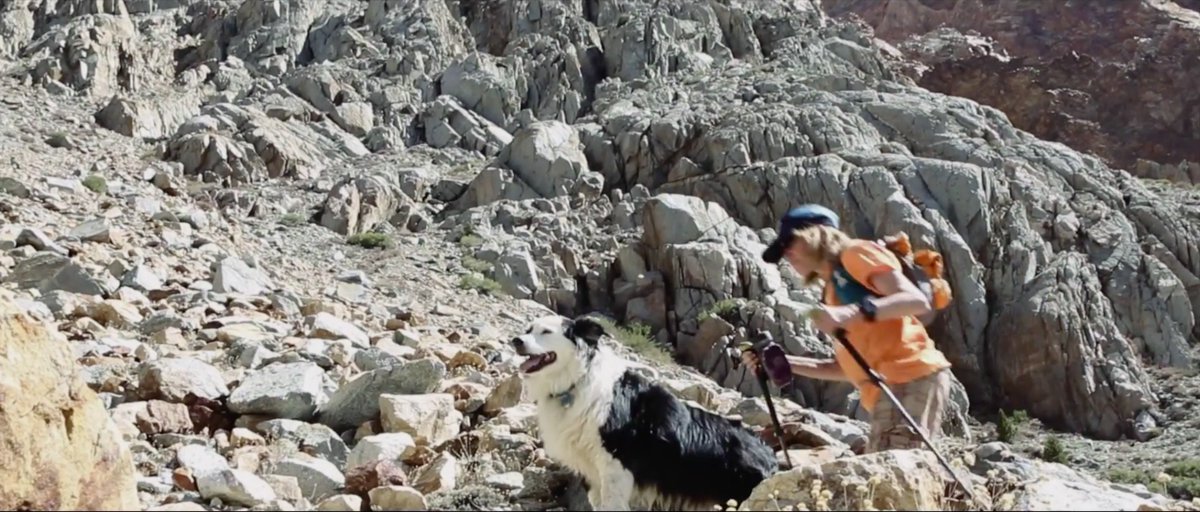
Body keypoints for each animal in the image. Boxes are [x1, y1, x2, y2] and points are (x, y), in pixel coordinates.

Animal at [510, 314, 779, 511]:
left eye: (546, 332)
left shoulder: (616, 468)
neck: (577, 380)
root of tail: (770, 456)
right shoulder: (592, 474)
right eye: (528, 329)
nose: (516, 340)